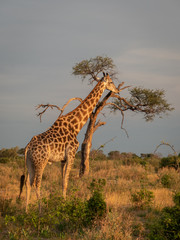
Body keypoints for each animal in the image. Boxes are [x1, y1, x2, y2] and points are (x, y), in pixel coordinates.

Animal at [19, 72, 119, 211]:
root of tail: (28, 147)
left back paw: (26, 211)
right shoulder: (71, 154)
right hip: (41, 161)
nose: (117, 90)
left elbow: (62, 182)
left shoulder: (62, 159)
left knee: (28, 183)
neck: (76, 126)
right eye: (111, 82)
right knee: (36, 183)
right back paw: (40, 211)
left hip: (29, 162)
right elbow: (66, 182)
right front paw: (65, 206)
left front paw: (62, 203)